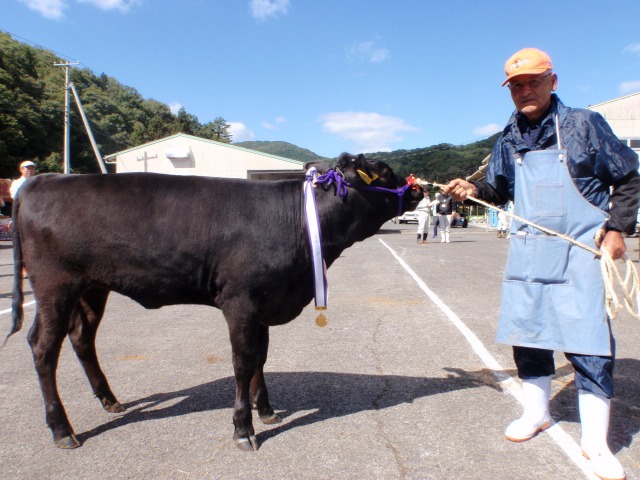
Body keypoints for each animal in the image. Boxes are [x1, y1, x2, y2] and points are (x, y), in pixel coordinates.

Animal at [7, 153, 424, 450]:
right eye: (384, 171)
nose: (418, 188)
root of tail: (42, 180)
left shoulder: (264, 304)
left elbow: (260, 358)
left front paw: (266, 411)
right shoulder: (240, 302)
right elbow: (242, 362)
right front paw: (243, 429)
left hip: (92, 288)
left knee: (82, 337)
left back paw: (110, 401)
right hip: (55, 286)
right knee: (43, 347)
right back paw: (62, 430)